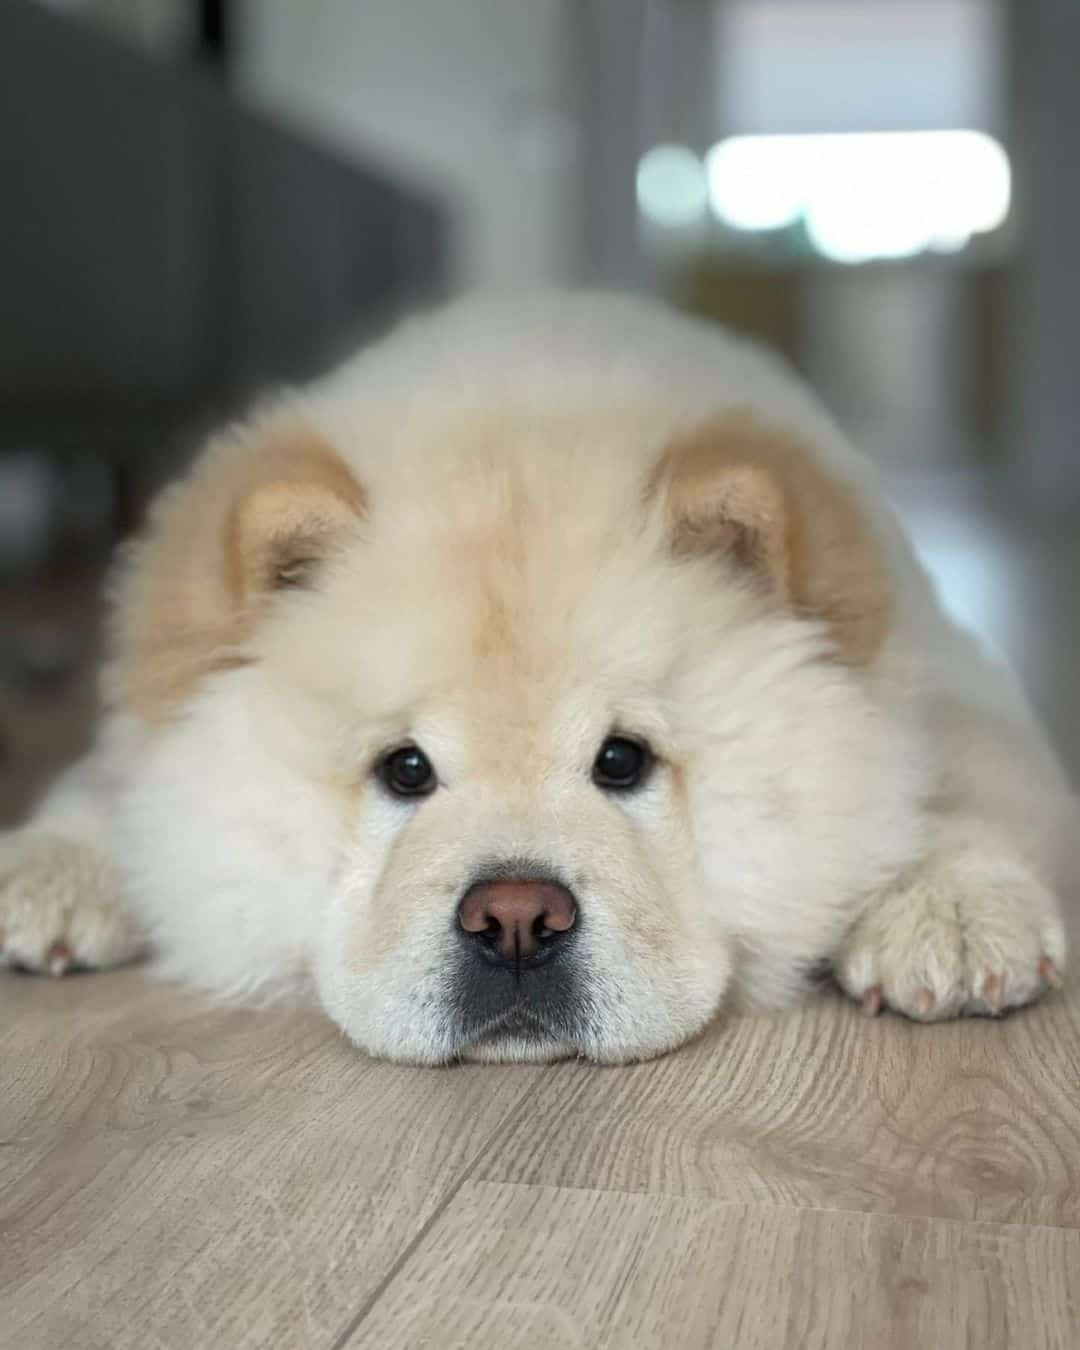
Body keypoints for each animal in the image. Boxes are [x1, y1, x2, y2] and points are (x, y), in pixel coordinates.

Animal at [0, 295, 1069, 1063]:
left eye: (622, 759)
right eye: (405, 770)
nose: (515, 918)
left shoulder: (951, 679)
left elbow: (974, 783)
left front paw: (953, 912)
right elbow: (106, 784)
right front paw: (48, 872)